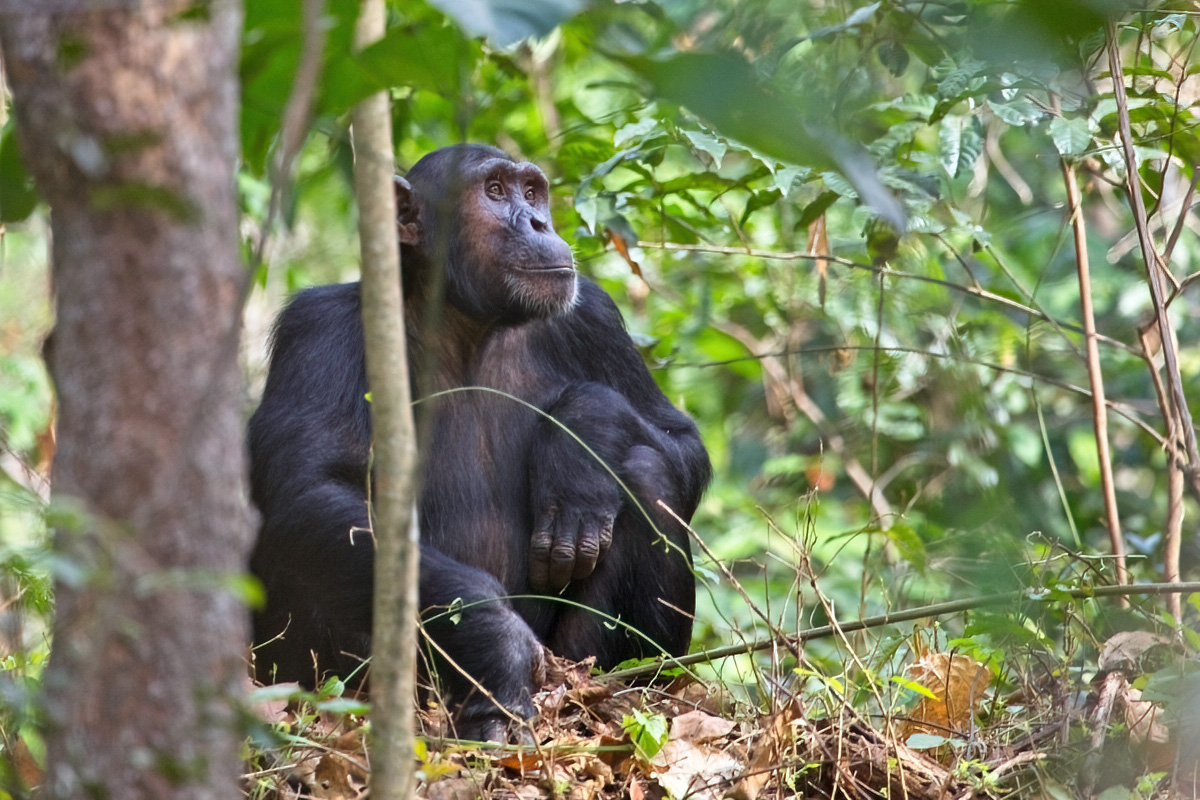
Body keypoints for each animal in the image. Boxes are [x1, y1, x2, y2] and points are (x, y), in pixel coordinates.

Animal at [247, 143, 705, 738]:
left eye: (531, 191)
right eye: (493, 191)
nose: (538, 222)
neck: (468, 326)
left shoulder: (594, 317)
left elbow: (680, 440)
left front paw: (579, 442)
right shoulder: (316, 331)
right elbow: (309, 488)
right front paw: (495, 642)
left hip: (572, 665)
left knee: (649, 476)